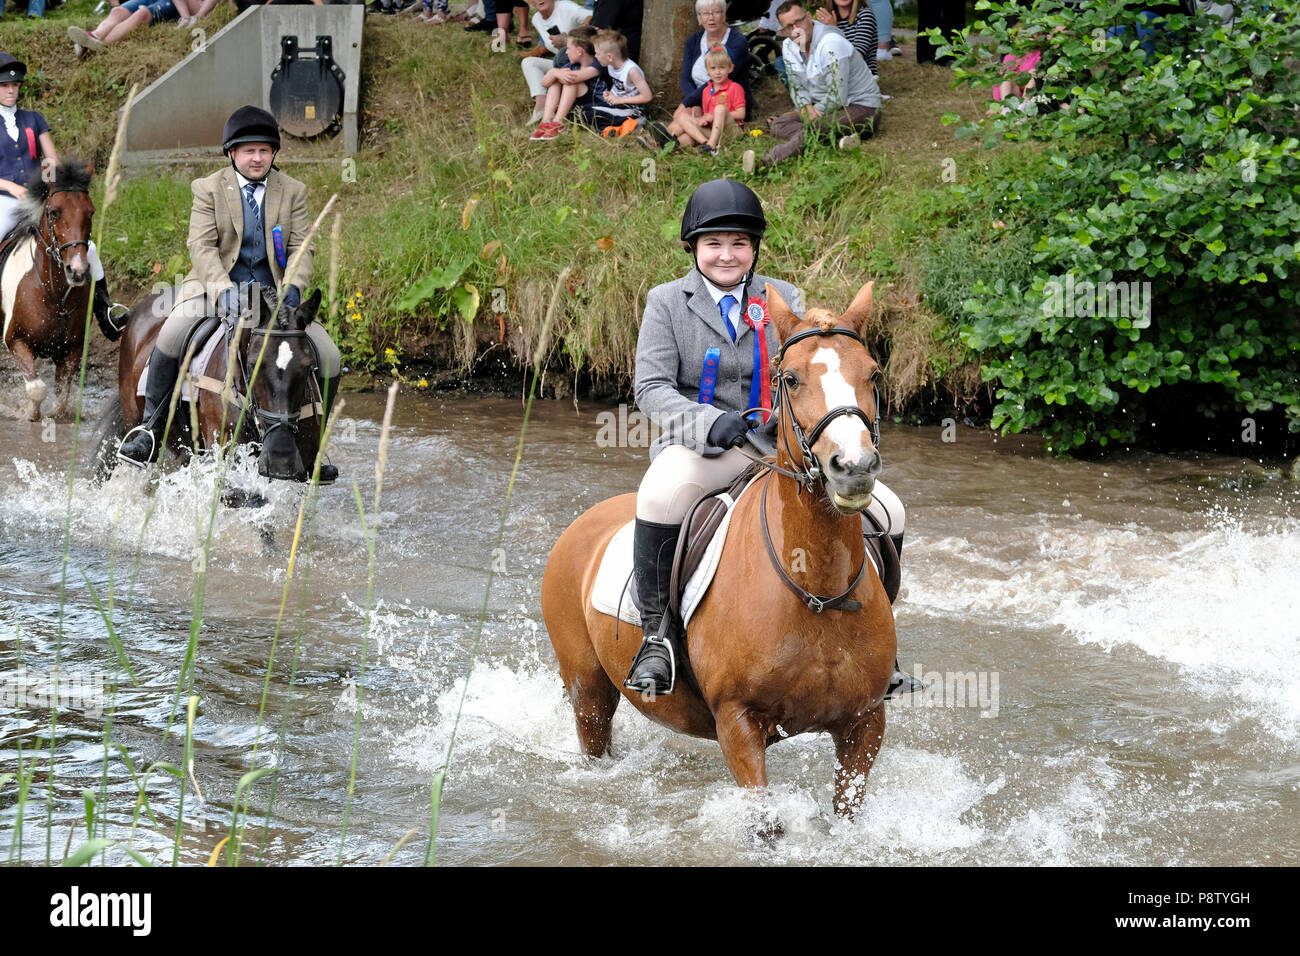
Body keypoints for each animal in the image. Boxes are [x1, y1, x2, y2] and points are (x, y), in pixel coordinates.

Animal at [0, 158, 115, 421]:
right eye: (54, 212)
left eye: (91, 211)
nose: (78, 270)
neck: (54, 292)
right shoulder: (15, 340)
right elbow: (37, 388)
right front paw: (31, 415)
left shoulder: (71, 349)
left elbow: (61, 395)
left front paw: (54, 416)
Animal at [540, 280, 894, 827]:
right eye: (790, 379)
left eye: (872, 373)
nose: (853, 468)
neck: (816, 589)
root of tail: (584, 524)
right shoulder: (738, 722)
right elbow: (766, 825)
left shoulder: (865, 722)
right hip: (587, 690)